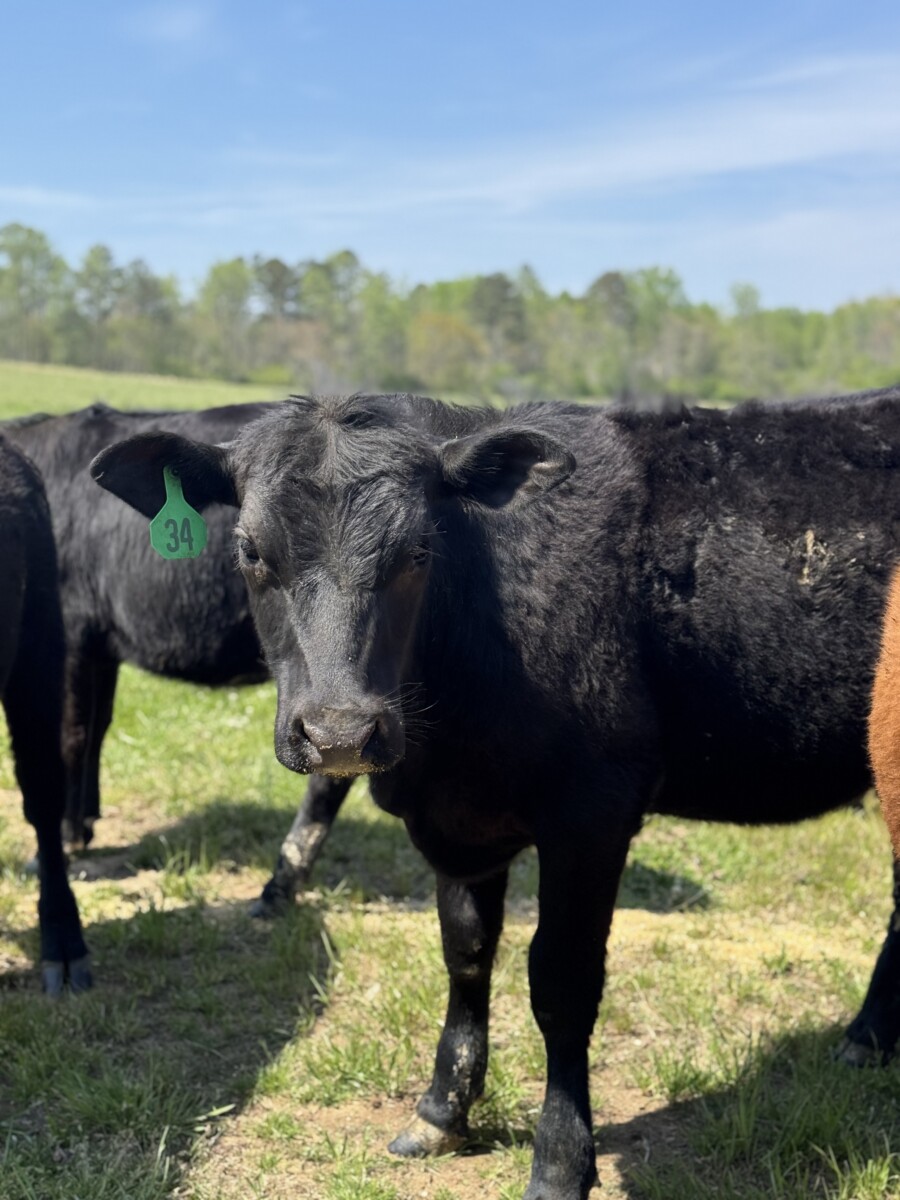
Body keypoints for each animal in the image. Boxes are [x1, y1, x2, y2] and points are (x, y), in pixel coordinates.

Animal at [5, 403, 352, 917]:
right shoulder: (103, 643)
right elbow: (98, 728)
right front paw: (86, 821)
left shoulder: (71, 630)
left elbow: (72, 736)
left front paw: (66, 839)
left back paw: (280, 885)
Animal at [91, 387, 900, 1200]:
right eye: (252, 551)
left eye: (419, 551)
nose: (340, 733)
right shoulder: (460, 825)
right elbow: (467, 951)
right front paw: (442, 1111)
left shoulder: (593, 815)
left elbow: (563, 982)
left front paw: (561, 1161)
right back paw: (867, 1037)